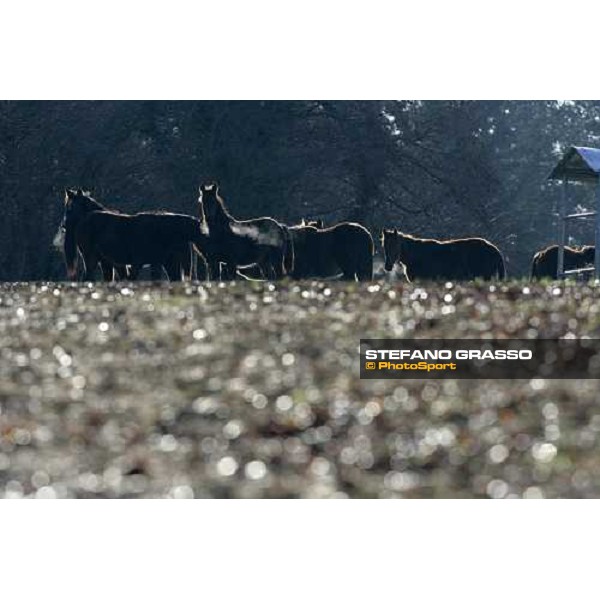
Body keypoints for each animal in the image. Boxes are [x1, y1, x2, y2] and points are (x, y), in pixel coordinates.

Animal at [63, 188, 212, 282]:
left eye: (70, 208)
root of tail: (84, 221)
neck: (161, 229)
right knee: (87, 277)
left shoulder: (154, 263)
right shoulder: (141, 263)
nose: (64, 226)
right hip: (91, 258)